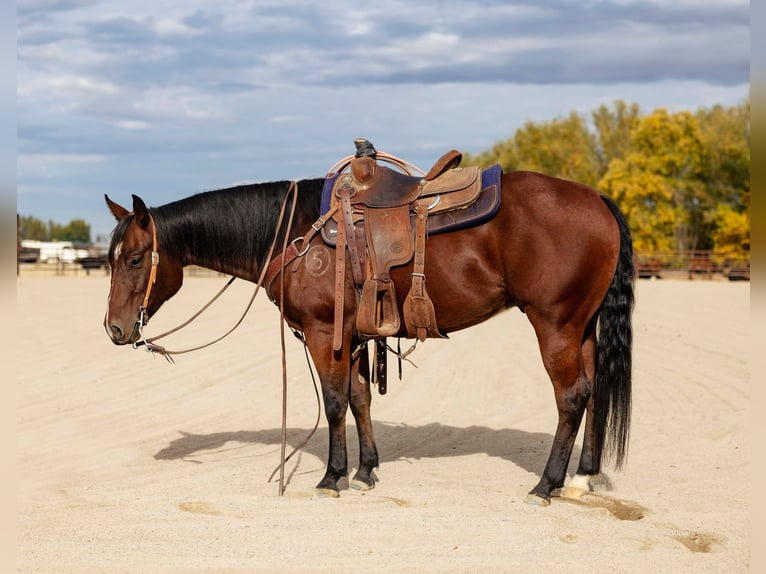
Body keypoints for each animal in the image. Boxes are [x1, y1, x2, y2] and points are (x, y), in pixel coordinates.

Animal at [103, 154, 634, 507]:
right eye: (110, 258)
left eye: (135, 259)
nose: (114, 329)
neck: (294, 232)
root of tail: (597, 198)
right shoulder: (356, 337)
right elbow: (360, 399)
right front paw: (365, 470)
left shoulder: (325, 334)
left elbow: (335, 402)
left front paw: (332, 476)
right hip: (582, 326)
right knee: (593, 391)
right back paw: (582, 477)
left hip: (555, 323)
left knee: (571, 395)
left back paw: (546, 484)